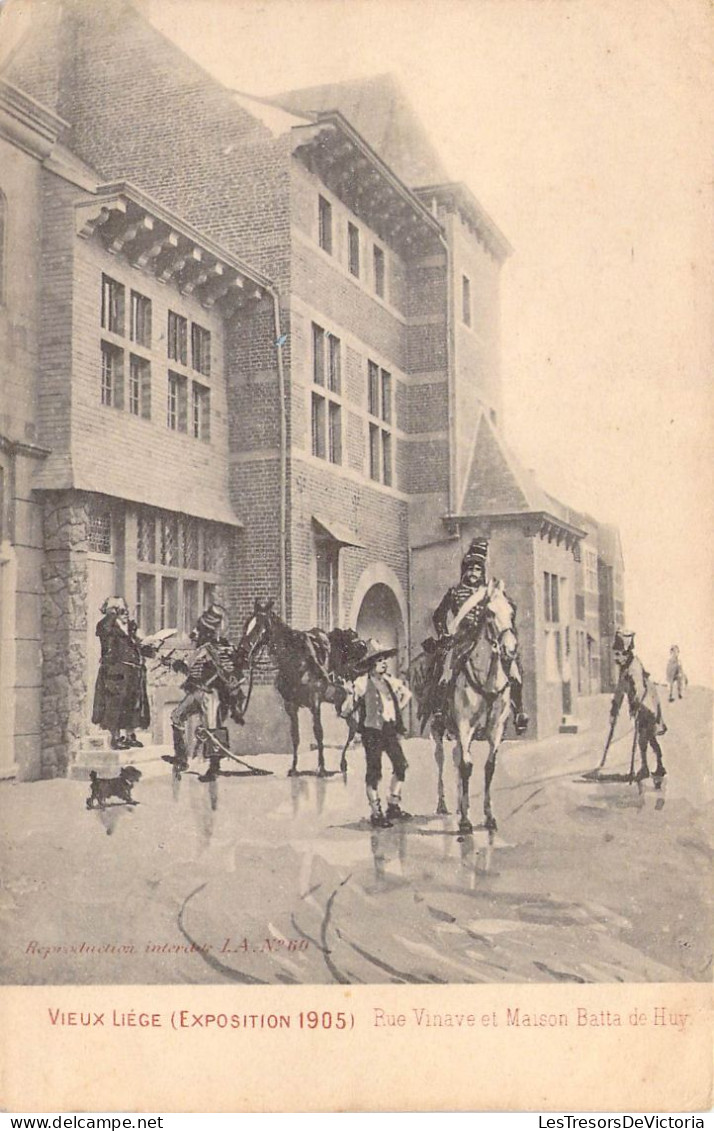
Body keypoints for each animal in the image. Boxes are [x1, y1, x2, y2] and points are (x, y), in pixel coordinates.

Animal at [239, 601, 366, 778]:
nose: (242, 652)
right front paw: (294, 768)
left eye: (259, 627)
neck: (296, 662)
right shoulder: (290, 705)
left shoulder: (315, 702)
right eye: (246, 625)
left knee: (352, 730)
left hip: (350, 705)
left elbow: (319, 733)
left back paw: (343, 763)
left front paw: (321, 768)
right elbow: (295, 736)